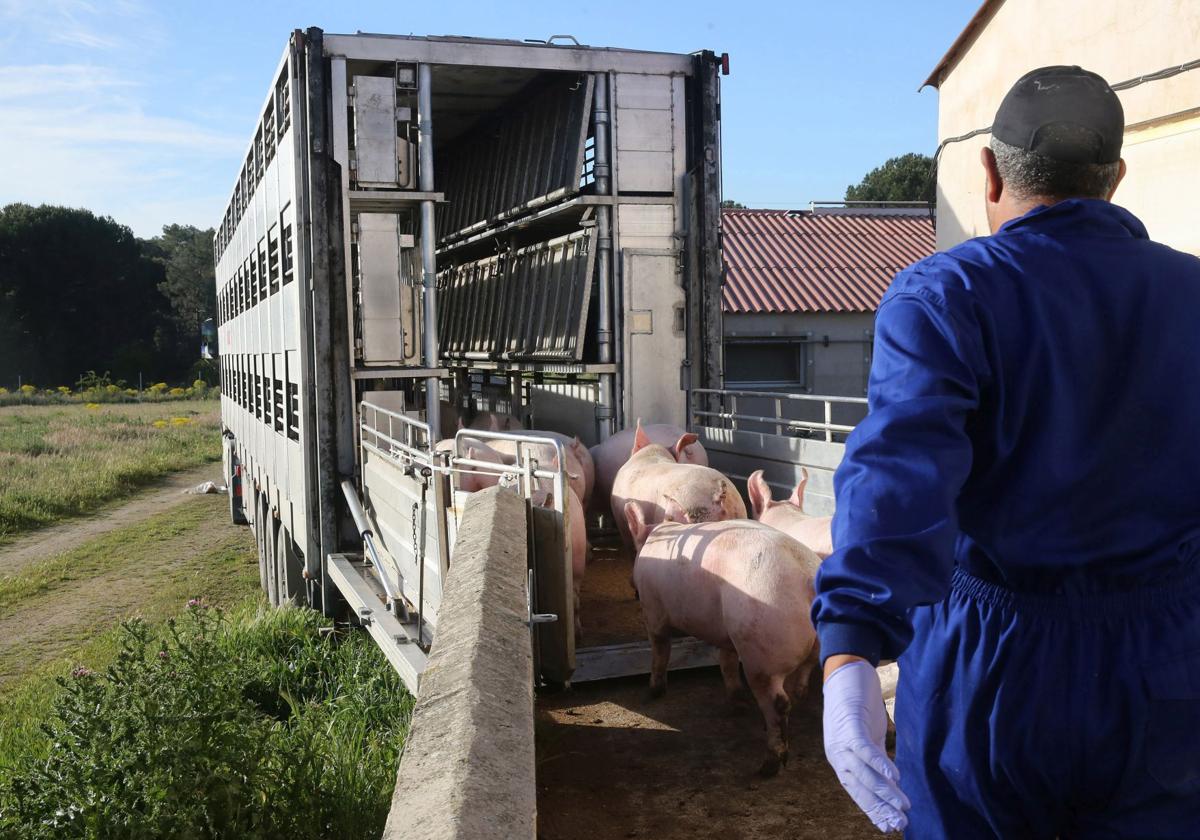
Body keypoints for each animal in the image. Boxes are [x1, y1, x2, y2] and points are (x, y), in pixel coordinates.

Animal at [619, 501, 825, 777]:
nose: (630, 583)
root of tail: (808, 580)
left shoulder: (653, 610)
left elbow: (660, 650)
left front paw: (653, 692)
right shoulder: (727, 636)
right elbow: (726, 661)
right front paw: (736, 702)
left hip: (762, 643)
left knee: (778, 702)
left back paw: (767, 767)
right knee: (804, 674)